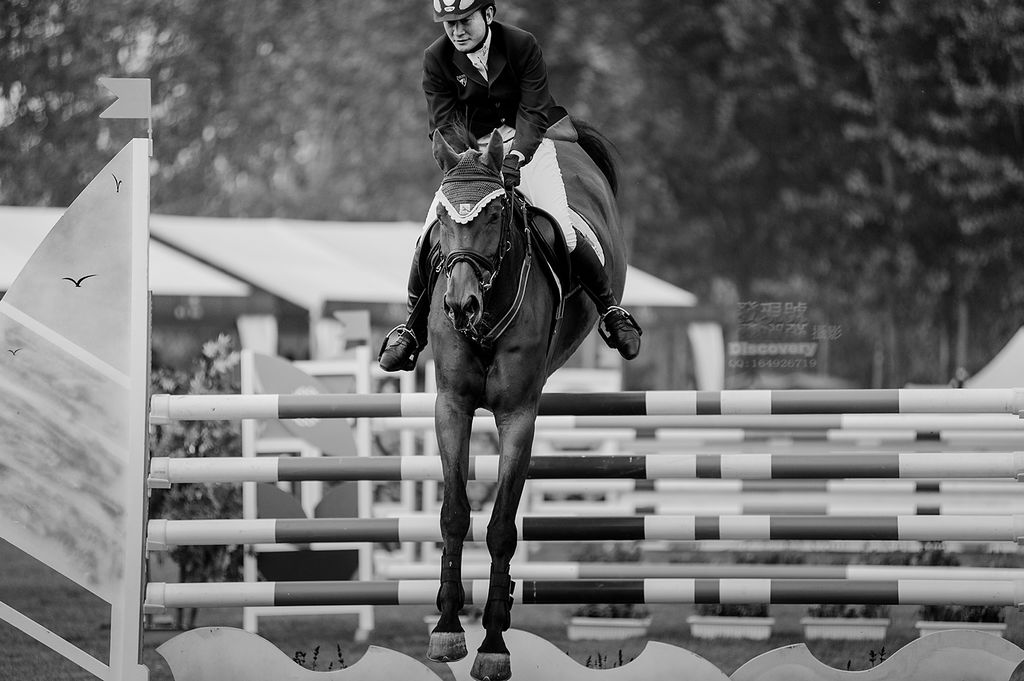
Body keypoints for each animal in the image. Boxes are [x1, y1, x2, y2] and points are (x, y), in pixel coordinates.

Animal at [425, 122, 626, 681]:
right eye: (441, 218)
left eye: (494, 215)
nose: (460, 305)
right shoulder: (452, 407)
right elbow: (454, 513)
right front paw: (447, 629)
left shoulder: (518, 416)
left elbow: (500, 529)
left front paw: (493, 644)